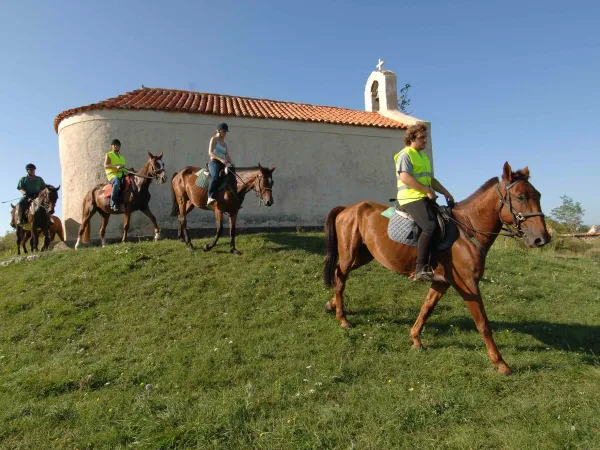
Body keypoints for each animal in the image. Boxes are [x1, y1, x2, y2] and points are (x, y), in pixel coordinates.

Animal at [326, 163, 552, 374]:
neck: (468, 230)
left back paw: (332, 306)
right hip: (350, 256)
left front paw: (415, 339)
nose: (542, 238)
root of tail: (347, 208)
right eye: (520, 196)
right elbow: (483, 323)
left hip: (363, 256)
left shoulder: (441, 282)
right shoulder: (468, 285)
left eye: (538, 195)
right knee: (340, 278)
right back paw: (342, 318)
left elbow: (426, 308)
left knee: (339, 276)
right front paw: (500, 363)